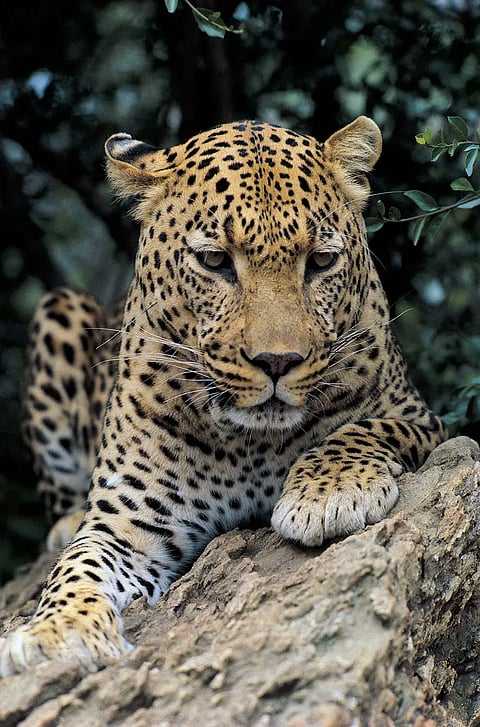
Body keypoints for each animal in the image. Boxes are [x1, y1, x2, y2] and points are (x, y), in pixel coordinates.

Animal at [0, 116, 447, 676]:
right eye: (215, 261)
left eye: (321, 262)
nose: (276, 361)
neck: (251, 444)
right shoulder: (125, 522)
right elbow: (79, 567)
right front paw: (57, 630)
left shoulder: (423, 419)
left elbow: (366, 428)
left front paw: (329, 492)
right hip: (57, 310)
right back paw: (62, 524)